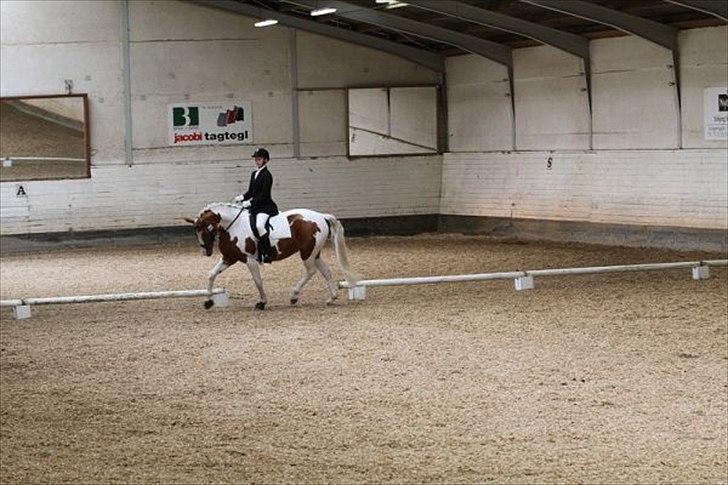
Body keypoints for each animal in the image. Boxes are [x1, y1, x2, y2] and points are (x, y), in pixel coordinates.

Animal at [186, 201, 360, 308]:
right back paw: (331, 298)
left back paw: (294, 296)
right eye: (196, 232)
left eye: (205, 230)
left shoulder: (250, 260)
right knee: (326, 271)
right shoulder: (229, 258)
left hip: (307, 253)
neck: (233, 225)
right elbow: (211, 274)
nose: (206, 252)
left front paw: (262, 302)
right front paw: (208, 301)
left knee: (311, 271)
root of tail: (321, 216)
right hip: (314, 253)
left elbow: (258, 281)